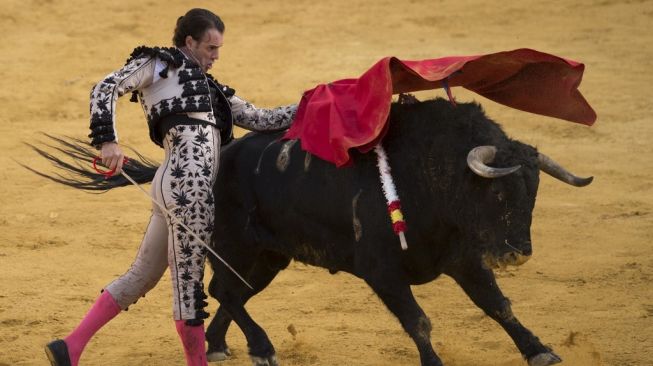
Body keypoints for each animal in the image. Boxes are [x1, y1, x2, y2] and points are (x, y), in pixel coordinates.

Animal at [33, 98, 592, 366]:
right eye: (497, 194)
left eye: (533, 194)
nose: (518, 253)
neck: (427, 174)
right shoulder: (381, 270)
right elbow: (419, 321)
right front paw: (434, 362)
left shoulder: (462, 258)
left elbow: (498, 305)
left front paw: (540, 350)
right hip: (232, 247)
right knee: (221, 291)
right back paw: (259, 347)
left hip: (267, 259)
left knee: (228, 293)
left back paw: (219, 346)